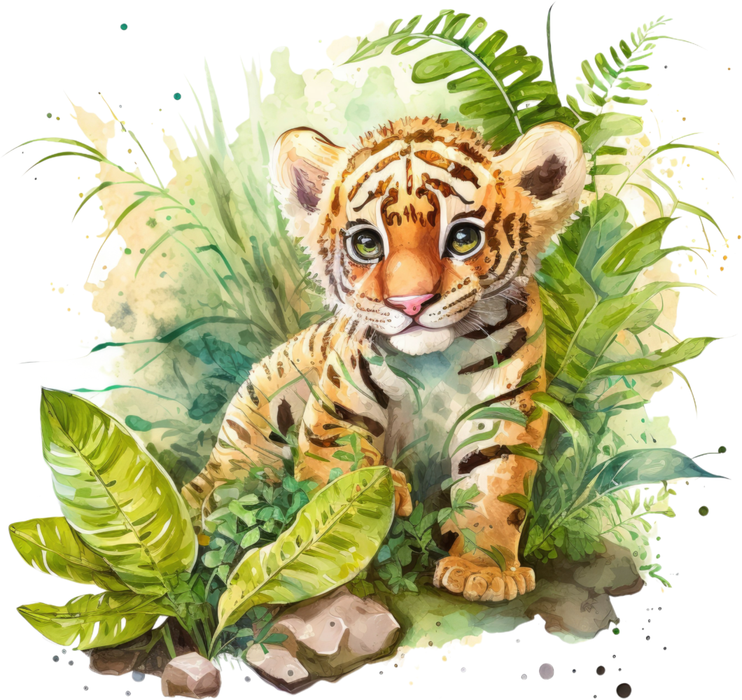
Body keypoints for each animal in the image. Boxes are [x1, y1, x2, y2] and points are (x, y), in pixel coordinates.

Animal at [183, 116, 586, 603]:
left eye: (464, 238)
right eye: (367, 243)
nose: (410, 302)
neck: (435, 361)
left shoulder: (505, 411)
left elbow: (494, 491)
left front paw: (484, 572)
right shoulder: (339, 407)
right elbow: (338, 468)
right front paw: (378, 492)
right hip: (255, 420)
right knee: (226, 492)